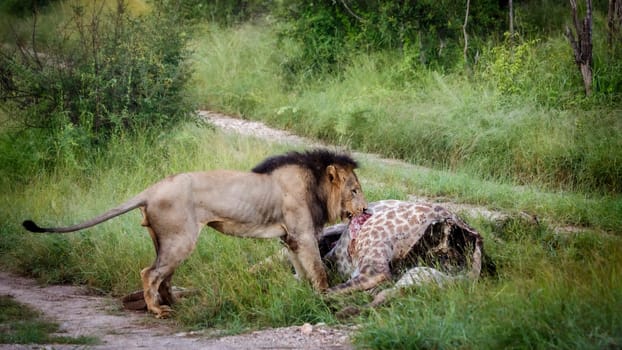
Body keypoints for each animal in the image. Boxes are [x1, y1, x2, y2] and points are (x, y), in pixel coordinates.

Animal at [22, 149, 368, 318]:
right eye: (354, 190)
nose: (366, 210)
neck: (316, 186)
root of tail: (151, 189)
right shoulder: (302, 233)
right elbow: (317, 270)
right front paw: (324, 297)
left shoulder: (290, 237)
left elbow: (301, 269)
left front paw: (305, 293)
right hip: (181, 240)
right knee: (149, 272)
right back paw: (158, 310)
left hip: (167, 240)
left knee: (163, 276)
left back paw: (175, 304)